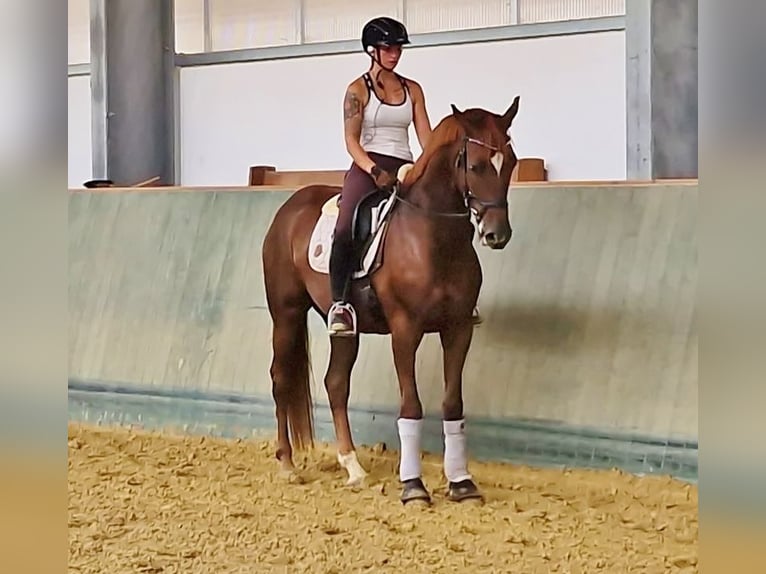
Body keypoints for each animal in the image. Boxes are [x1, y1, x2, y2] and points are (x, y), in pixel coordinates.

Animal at [262, 95, 520, 504]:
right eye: (476, 165)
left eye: (509, 162)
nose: (497, 234)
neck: (433, 239)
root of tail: (291, 205)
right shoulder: (405, 330)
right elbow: (411, 404)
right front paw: (413, 485)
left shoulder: (458, 329)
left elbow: (452, 403)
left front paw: (462, 483)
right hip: (285, 313)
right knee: (281, 378)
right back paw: (287, 464)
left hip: (345, 328)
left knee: (336, 383)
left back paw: (353, 467)